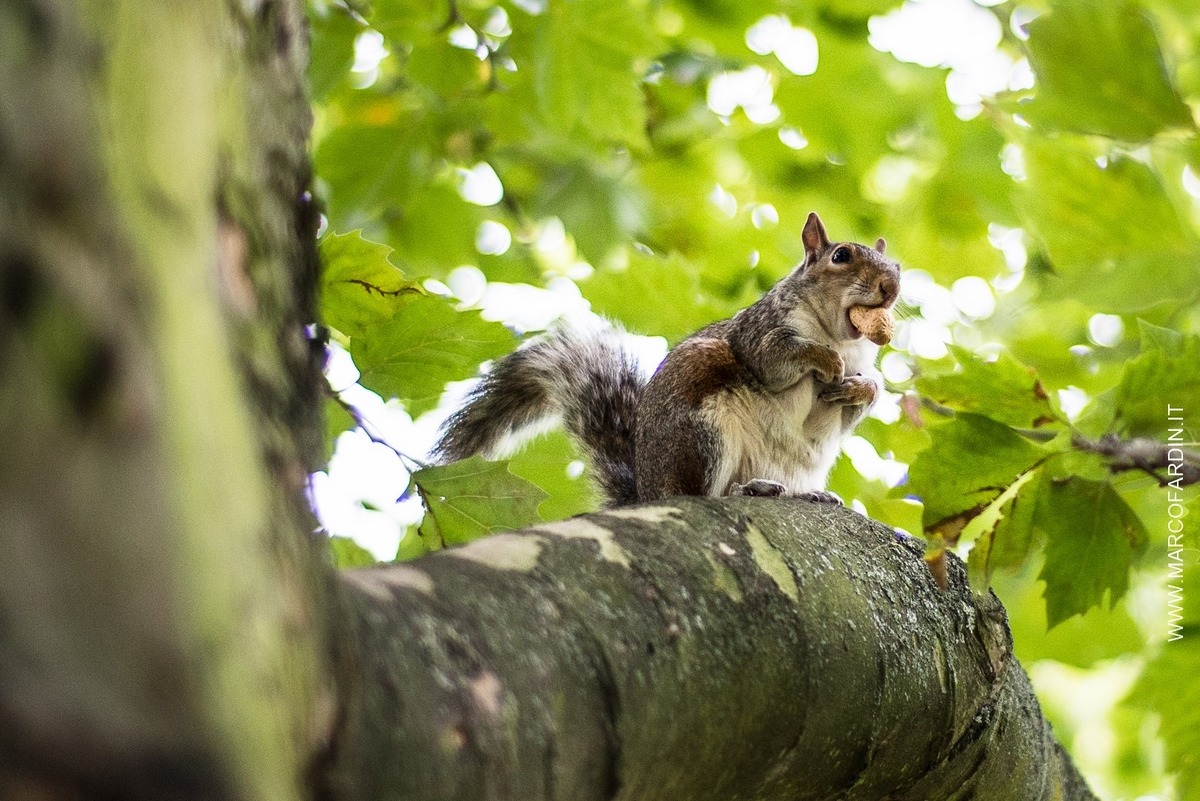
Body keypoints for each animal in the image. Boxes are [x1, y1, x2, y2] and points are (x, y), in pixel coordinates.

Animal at [433, 212, 900, 507]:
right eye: (841, 256)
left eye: (896, 265)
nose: (891, 286)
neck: (840, 335)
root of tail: (649, 490)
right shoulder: (759, 333)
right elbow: (776, 359)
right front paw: (824, 360)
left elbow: (855, 405)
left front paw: (862, 387)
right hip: (698, 427)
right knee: (696, 494)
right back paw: (743, 490)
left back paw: (806, 492)